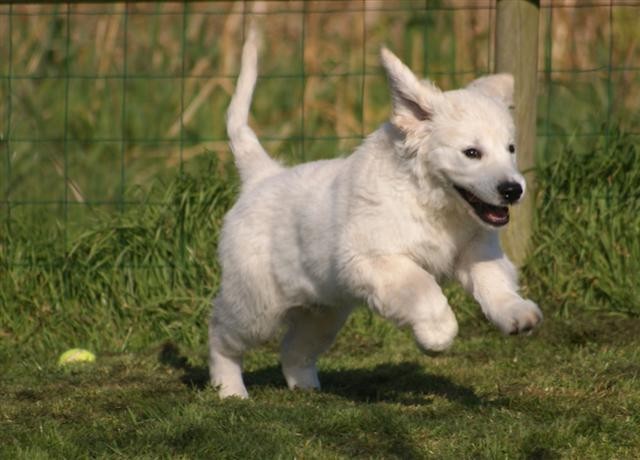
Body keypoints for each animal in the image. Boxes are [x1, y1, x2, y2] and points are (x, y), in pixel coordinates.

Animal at [209, 28, 542, 398]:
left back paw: (306, 387)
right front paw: (436, 336)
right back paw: (230, 389)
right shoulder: (376, 259)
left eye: (510, 149)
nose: (513, 190)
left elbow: (494, 280)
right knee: (221, 332)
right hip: (256, 304)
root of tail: (262, 176)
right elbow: (425, 289)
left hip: (325, 310)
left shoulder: (475, 248)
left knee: (294, 348)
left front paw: (515, 312)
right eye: (471, 153)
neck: (430, 200)